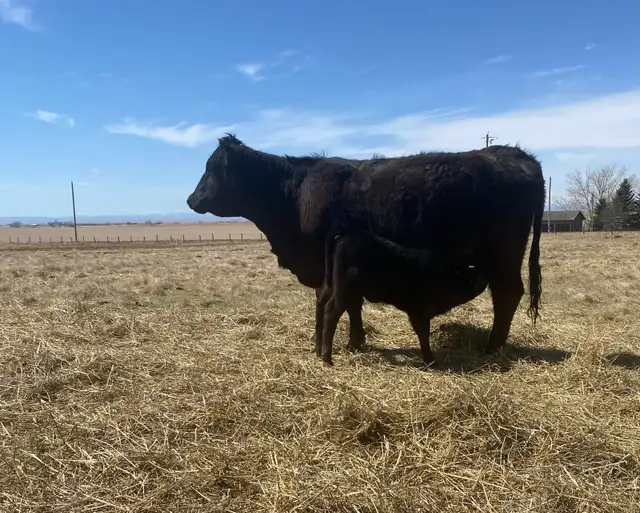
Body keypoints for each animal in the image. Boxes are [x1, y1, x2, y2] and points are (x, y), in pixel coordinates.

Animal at [317, 230, 489, 366]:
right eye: (470, 272)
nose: (484, 278)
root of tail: (346, 235)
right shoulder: (418, 310)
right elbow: (423, 333)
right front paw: (430, 359)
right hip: (344, 290)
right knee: (331, 311)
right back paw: (327, 358)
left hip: (333, 286)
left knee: (322, 301)